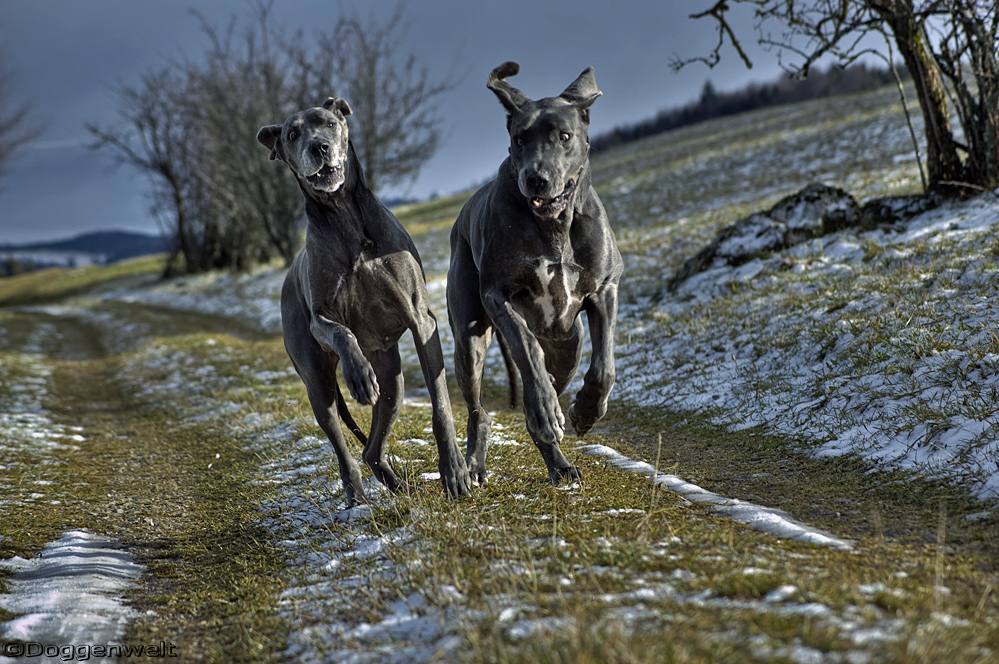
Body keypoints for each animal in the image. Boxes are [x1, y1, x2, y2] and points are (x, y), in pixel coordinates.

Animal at [260, 96, 474, 506]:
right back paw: (356, 500)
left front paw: (455, 472)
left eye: (329, 123)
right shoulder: (321, 318)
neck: (342, 214)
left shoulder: (421, 320)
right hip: (318, 385)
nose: (318, 147)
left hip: (392, 382)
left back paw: (400, 488)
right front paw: (357, 375)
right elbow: (343, 333)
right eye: (292, 134)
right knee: (345, 451)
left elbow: (441, 404)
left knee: (370, 448)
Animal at [448, 63, 620, 482]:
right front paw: (544, 410)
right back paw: (481, 461)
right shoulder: (498, 294)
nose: (535, 178)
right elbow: (525, 348)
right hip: (468, 339)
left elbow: (604, 365)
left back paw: (559, 460)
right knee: (482, 406)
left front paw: (585, 411)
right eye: (519, 139)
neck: (555, 225)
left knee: (559, 371)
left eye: (564, 136)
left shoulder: (605, 288)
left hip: (568, 343)